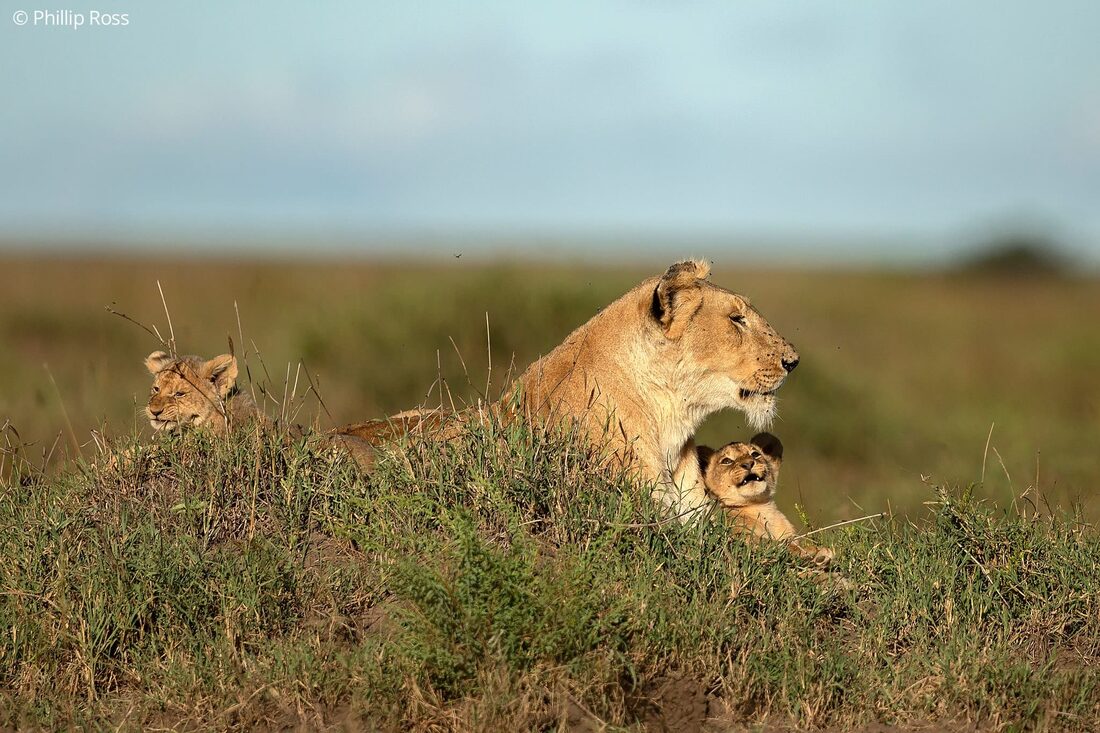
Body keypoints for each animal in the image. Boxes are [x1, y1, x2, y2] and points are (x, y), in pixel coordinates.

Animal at [699, 433, 833, 565]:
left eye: (755, 454)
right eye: (726, 461)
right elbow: (773, 545)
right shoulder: (737, 536)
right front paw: (814, 552)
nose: (748, 464)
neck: (761, 508)